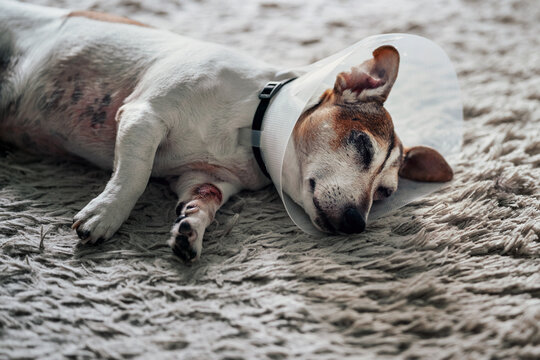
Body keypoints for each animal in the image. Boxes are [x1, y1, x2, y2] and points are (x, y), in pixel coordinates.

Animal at [2, 0, 454, 262]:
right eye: (361, 144)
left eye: (386, 194)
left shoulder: (205, 178)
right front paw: (106, 214)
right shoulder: (144, 116)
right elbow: (133, 177)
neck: (248, 124)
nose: (356, 224)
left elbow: (205, 202)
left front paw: (191, 229)